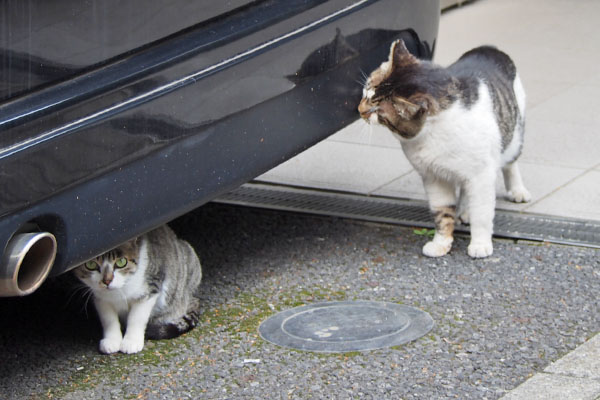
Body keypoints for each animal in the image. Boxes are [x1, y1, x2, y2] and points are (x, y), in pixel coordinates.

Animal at [74, 225, 202, 354]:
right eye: (90, 264)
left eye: (121, 262)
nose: (107, 281)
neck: (119, 290)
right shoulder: (100, 298)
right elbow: (108, 319)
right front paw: (112, 341)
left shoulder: (151, 286)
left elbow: (137, 317)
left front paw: (131, 342)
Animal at [356, 39, 528, 260]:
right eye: (366, 92)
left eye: (378, 113)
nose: (360, 110)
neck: (434, 133)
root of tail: (488, 48)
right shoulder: (433, 176)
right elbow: (442, 213)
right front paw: (441, 243)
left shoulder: (482, 175)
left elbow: (482, 213)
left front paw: (480, 244)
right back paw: (464, 210)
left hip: (514, 133)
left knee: (510, 163)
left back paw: (517, 190)